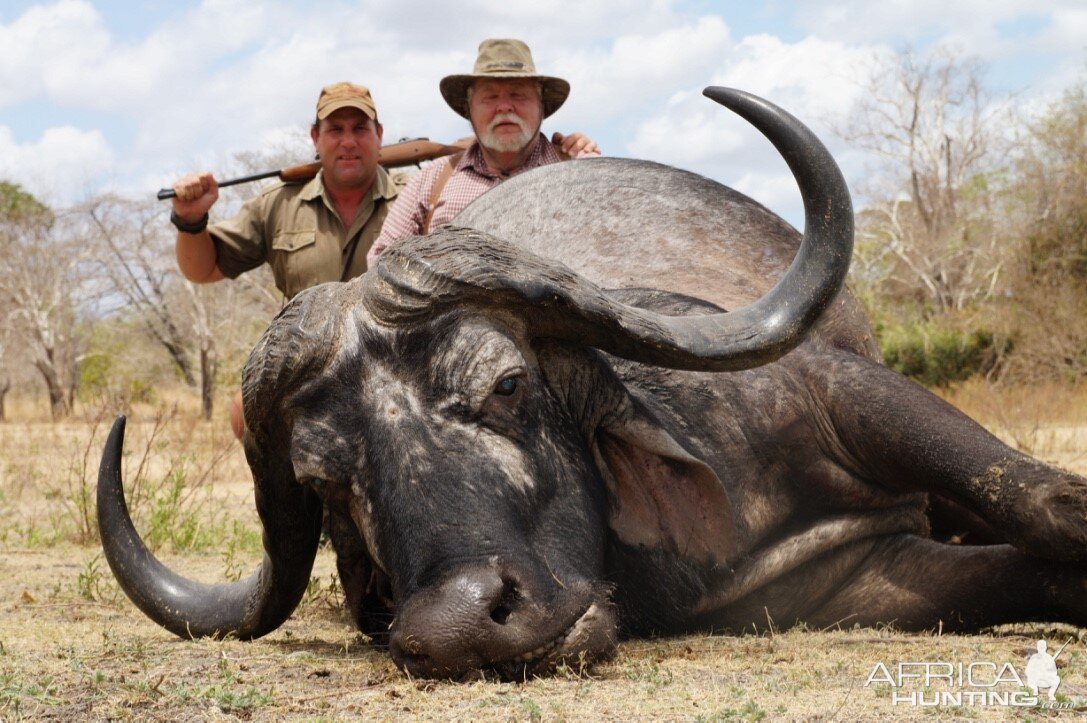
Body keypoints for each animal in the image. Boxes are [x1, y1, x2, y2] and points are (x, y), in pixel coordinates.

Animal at [100, 87, 1087, 678]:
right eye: (323, 481)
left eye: (506, 385)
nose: (457, 623)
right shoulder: (851, 584)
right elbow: (1028, 572)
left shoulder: (841, 394)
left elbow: (1039, 499)